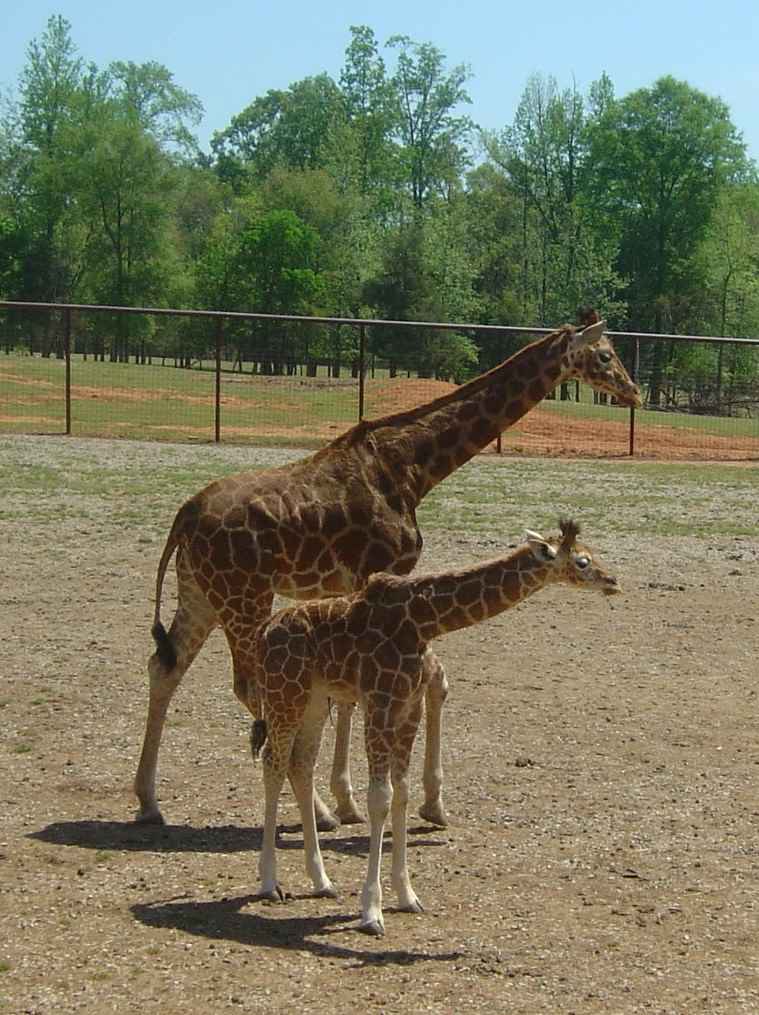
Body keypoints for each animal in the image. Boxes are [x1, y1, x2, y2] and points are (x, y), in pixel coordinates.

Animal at [134, 316, 641, 824]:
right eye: (605, 355)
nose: (633, 391)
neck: (412, 468)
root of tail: (184, 516)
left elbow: (374, 691)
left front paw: (389, 799)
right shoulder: (379, 570)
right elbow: (370, 696)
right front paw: (360, 799)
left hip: (200, 592)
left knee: (165, 667)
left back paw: (149, 802)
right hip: (244, 595)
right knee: (247, 684)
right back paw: (317, 809)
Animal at [251, 519, 621, 929]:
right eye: (583, 561)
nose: (613, 580)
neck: (423, 620)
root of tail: (264, 632)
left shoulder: (409, 706)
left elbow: (401, 792)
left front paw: (407, 895)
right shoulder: (380, 701)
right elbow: (380, 797)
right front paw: (371, 910)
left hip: (314, 698)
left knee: (301, 765)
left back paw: (322, 881)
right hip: (285, 693)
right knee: (273, 763)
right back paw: (269, 882)